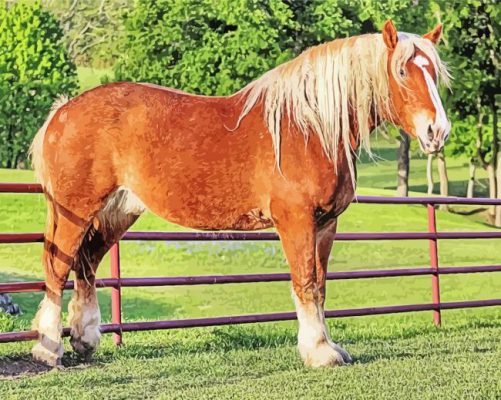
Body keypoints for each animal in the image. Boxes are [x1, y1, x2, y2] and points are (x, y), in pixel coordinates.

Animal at [28, 20, 450, 368]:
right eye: (402, 72)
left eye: (435, 73)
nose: (438, 131)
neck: (310, 128)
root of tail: (63, 111)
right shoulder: (295, 221)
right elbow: (305, 282)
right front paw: (318, 352)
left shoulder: (326, 224)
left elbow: (321, 286)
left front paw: (330, 346)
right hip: (75, 209)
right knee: (57, 266)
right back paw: (49, 348)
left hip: (117, 211)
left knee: (86, 263)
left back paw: (84, 340)